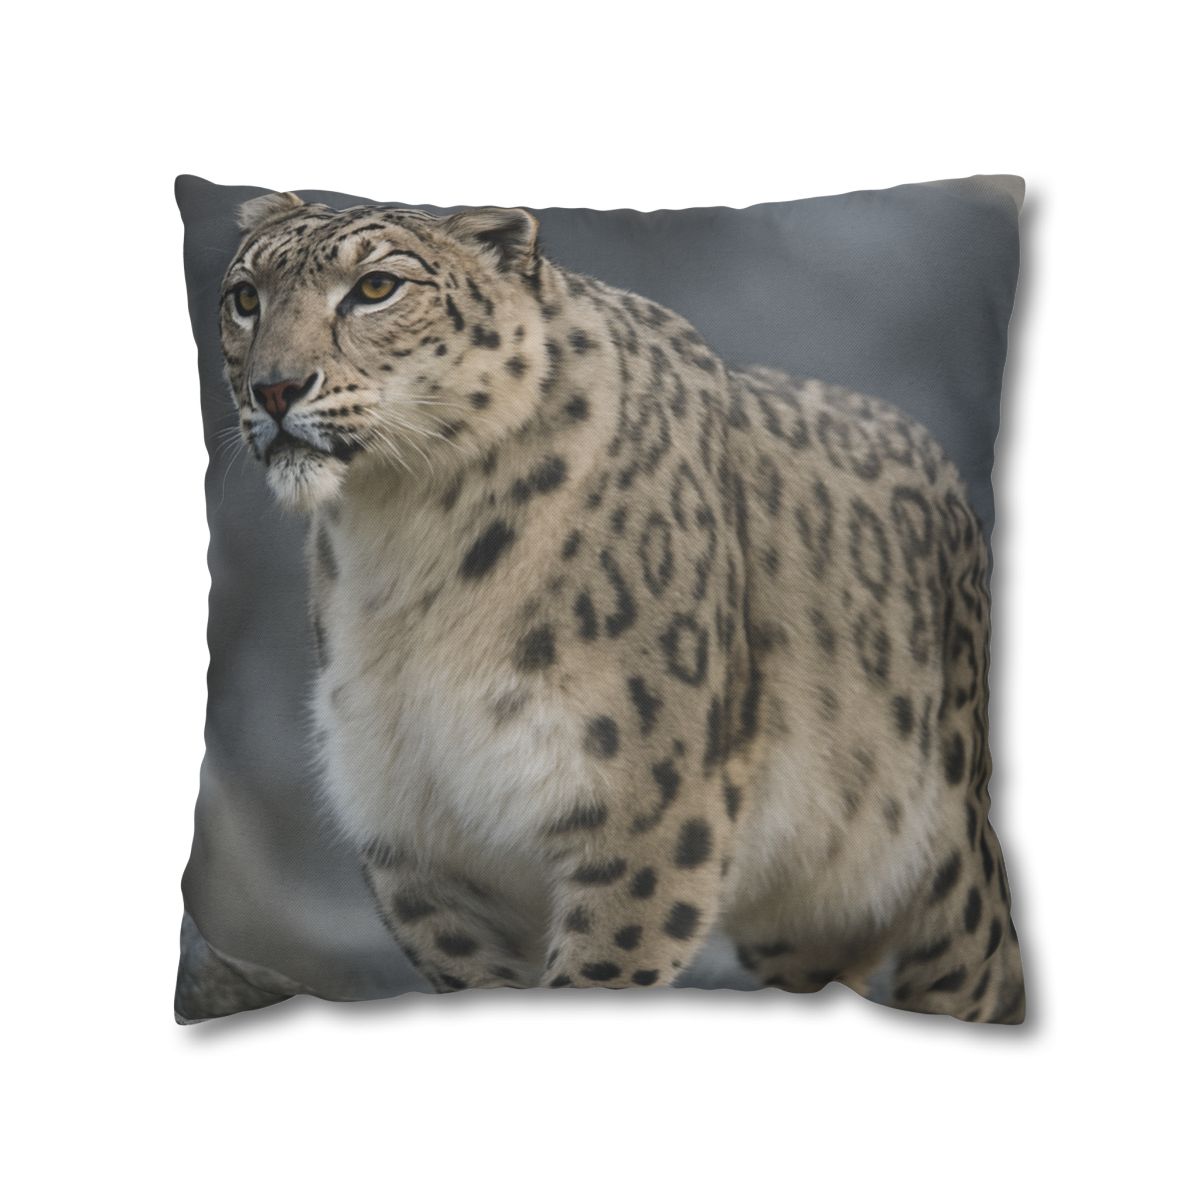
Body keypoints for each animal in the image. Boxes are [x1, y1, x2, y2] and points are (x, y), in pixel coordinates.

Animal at [217, 190, 1025, 1023]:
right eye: (244, 298)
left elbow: (599, 972)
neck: (404, 544)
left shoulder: (644, 812)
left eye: (376, 287)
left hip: (953, 877)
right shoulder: (417, 833)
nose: (274, 388)